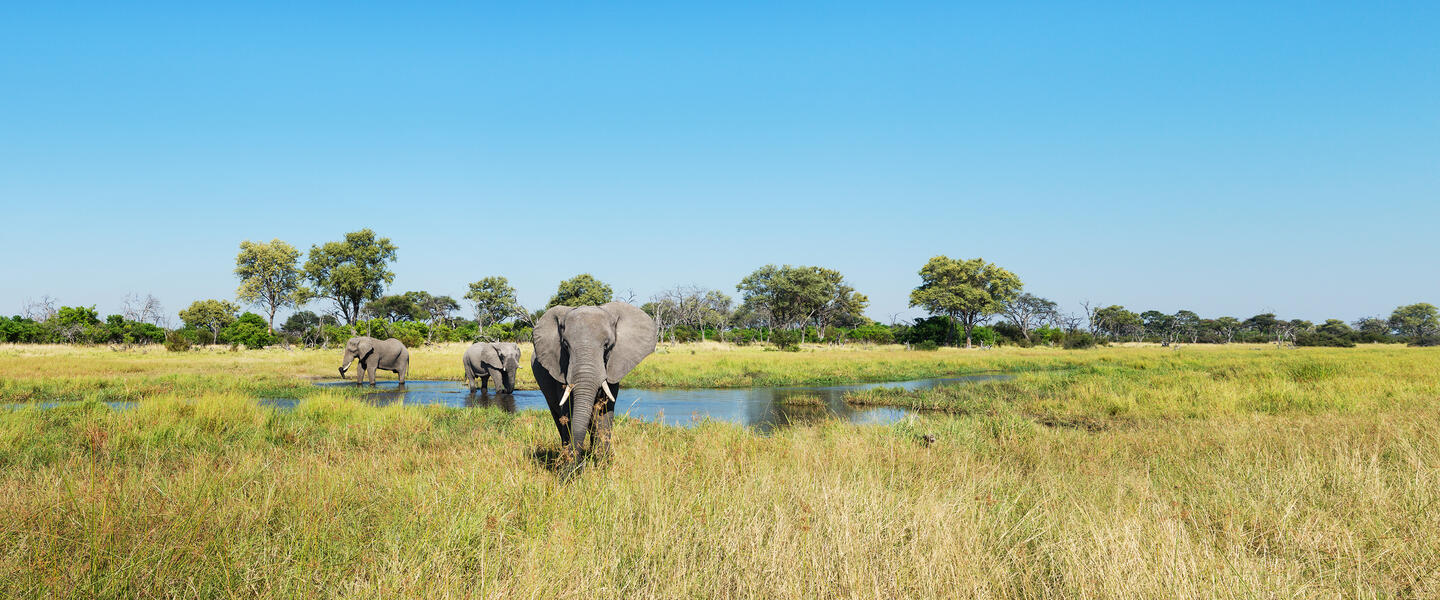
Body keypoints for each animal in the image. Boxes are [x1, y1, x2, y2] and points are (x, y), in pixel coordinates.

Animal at [535, 302, 659, 480]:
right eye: (565, 345)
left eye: (607, 346)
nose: (575, 470)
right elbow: (569, 413)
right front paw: (571, 469)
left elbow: (603, 415)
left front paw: (603, 468)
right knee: (559, 419)